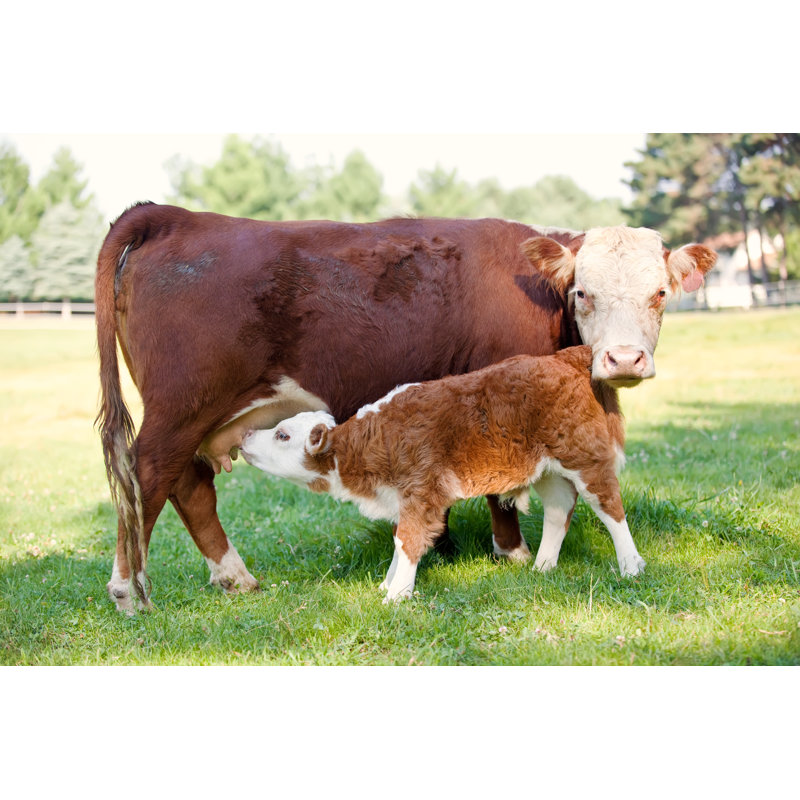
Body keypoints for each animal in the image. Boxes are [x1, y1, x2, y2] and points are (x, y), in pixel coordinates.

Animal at [239, 346, 641, 600]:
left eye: (282, 434)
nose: (244, 435)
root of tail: (564, 357)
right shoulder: (403, 499)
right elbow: (399, 541)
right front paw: (387, 585)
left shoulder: (421, 492)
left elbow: (408, 541)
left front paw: (397, 596)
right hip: (546, 470)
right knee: (559, 509)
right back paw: (543, 567)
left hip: (584, 456)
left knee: (609, 506)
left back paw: (631, 567)